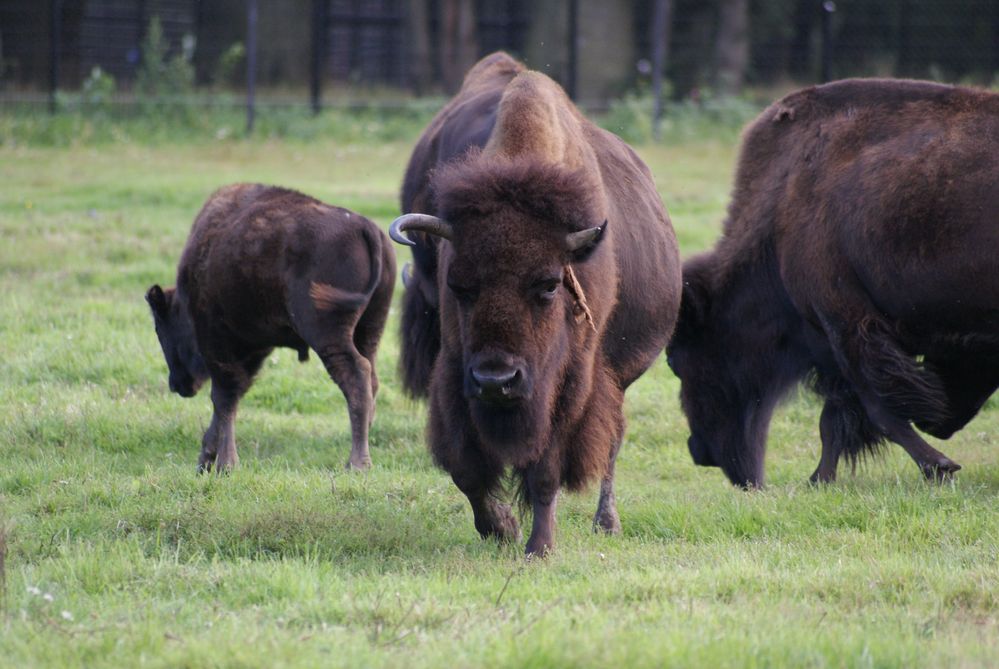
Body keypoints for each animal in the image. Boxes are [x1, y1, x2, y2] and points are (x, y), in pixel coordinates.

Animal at [146, 183, 396, 472]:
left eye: (160, 328)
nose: (177, 384)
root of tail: (364, 227)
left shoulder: (217, 344)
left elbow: (223, 397)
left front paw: (225, 464)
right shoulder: (254, 350)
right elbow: (232, 397)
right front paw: (206, 460)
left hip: (327, 334)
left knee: (355, 376)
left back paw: (356, 463)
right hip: (370, 329)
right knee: (371, 378)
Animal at [390, 51, 680, 552]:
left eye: (548, 284)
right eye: (458, 285)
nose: (496, 380)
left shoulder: (570, 383)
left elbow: (546, 470)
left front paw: (539, 547)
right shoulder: (454, 374)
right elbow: (466, 467)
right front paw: (501, 527)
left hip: (618, 379)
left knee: (612, 443)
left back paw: (607, 522)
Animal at [664, 78, 999, 488]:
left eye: (677, 362)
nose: (701, 453)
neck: (782, 208)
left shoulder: (845, 325)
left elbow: (878, 411)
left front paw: (939, 466)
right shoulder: (837, 342)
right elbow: (836, 419)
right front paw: (818, 479)